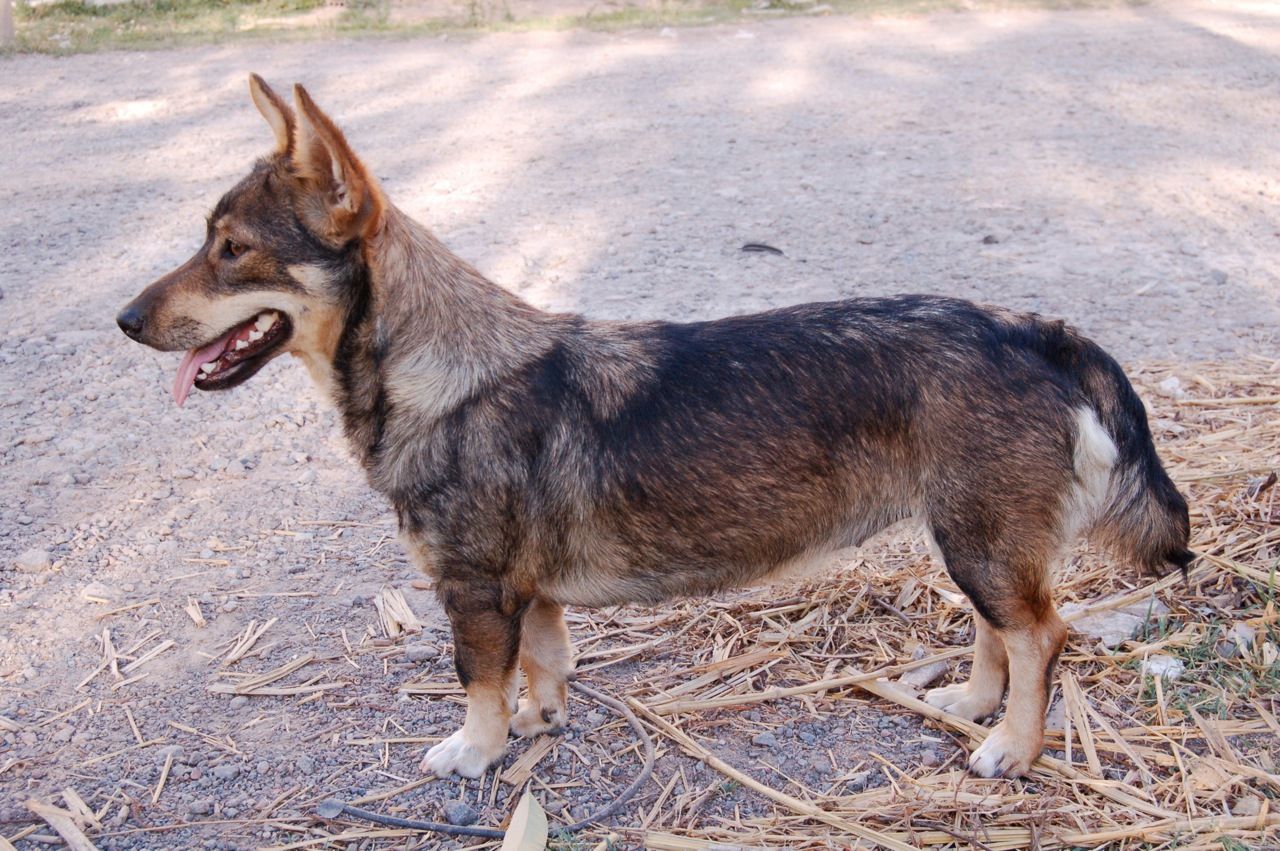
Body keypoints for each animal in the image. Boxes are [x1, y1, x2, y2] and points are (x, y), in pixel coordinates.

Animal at [115, 76, 1192, 778]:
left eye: (231, 250)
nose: (122, 319)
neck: (444, 369)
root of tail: (1031, 328)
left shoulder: (471, 590)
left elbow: (478, 679)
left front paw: (474, 749)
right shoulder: (525, 593)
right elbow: (541, 662)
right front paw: (537, 724)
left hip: (977, 539)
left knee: (1041, 634)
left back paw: (1011, 744)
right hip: (970, 537)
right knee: (998, 630)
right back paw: (972, 704)